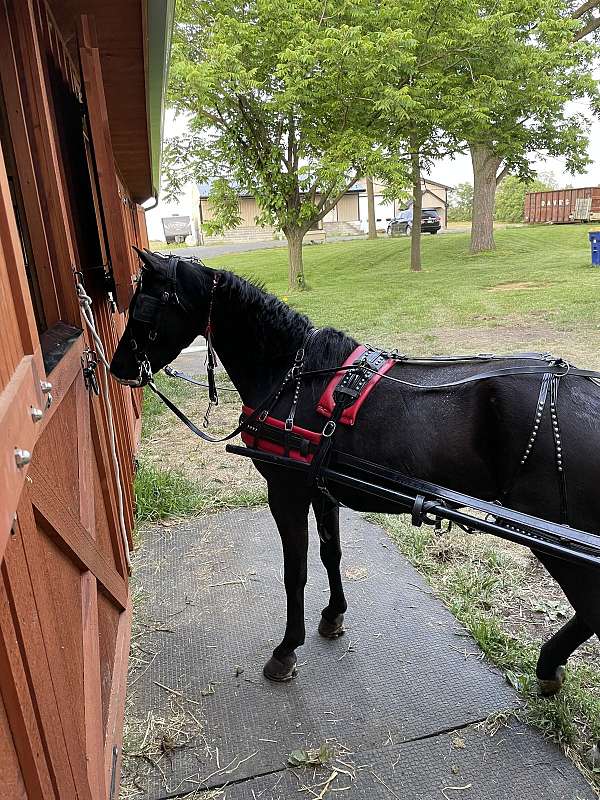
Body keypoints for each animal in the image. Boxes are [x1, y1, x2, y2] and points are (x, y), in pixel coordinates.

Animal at [110, 252, 596, 752]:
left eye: (143, 310)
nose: (116, 367)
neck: (291, 374)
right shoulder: (321, 490)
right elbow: (331, 554)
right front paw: (333, 615)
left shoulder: (286, 492)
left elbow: (296, 572)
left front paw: (287, 649)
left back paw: (548, 664)